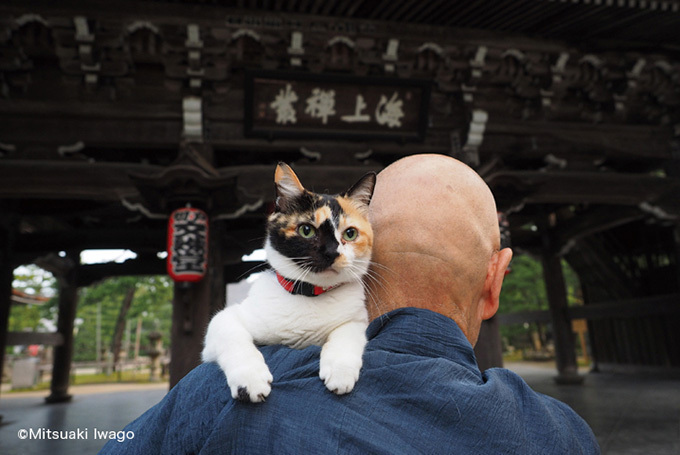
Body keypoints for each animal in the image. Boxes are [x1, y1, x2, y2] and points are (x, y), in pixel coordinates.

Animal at [202, 163, 374, 402]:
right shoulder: (224, 322)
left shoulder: (357, 319)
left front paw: (340, 372)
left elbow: (346, 334)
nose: (332, 252)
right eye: (306, 230)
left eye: (350, 233)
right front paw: (250, 381)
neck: (309, 295)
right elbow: (232, 336)